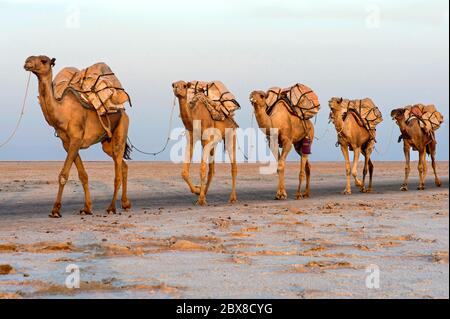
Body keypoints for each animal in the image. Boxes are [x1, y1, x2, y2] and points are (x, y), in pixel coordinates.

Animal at [23, 56, 131, 219]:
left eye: (44, 60)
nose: (27, 62)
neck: (63, 113)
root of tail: (123, 110)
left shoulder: (76, 139)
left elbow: (63, 175)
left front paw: (55, 210)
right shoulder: (68, 143)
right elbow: (83, 175)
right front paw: (87, 208)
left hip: (121, 131)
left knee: (117, 173)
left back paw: (112, 207)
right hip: (107, 142)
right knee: (123, 165)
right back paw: (125, 204)